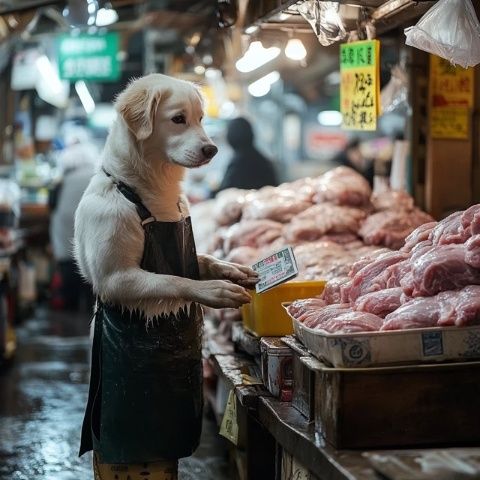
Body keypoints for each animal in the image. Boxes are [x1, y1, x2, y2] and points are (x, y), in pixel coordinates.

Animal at [74, 74, 255, 318]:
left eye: (200, 119)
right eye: (178, 119)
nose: (213, 150)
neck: (141, 186)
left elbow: (205, 258)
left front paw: (229, 267)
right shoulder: (114, 278)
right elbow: (173, 280)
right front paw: (210, 289)